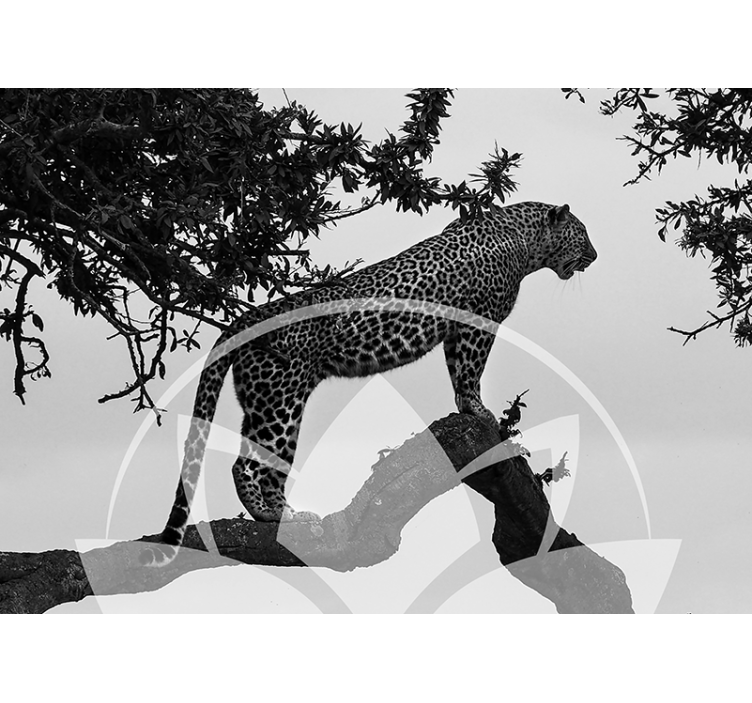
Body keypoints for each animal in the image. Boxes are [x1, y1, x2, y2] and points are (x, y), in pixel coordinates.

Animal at [140, 201, 597, 566]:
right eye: (583, 233)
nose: (594, 255)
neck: (523, 238)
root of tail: (250, 316)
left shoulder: (457, 331)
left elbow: (458, 373)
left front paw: (470, 409)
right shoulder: (477, 325)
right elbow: (470, 373)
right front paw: (480, 411)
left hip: (269, 399)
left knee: (269, 465)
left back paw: (288, 516)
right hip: (280, 402)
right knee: (246, 464)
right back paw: (269, 515)